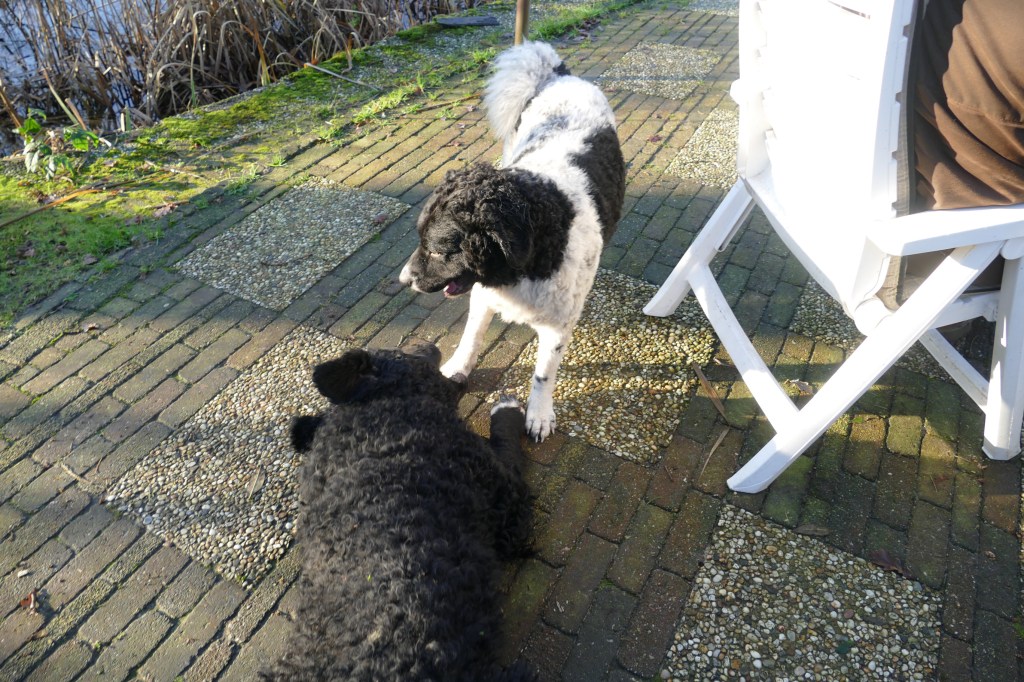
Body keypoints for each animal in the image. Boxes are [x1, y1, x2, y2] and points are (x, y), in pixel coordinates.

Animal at [399, 41, 626, 442]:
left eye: (439, 250)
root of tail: (558, 74)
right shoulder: (482, 296)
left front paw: (539, 414)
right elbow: (471, 338)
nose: (403, 279)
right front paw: (456, 369)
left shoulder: (556, 328)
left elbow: (543, 375)